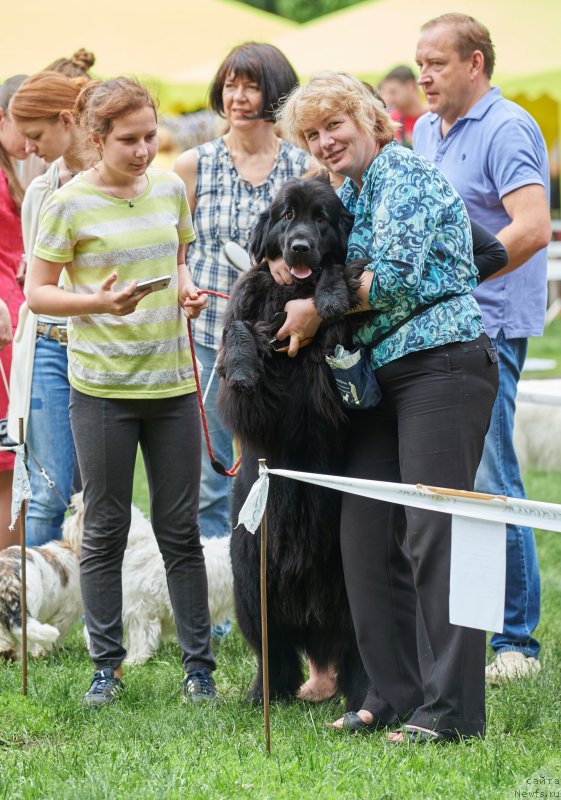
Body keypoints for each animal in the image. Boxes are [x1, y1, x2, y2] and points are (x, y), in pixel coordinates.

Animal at [63, 490, 234, 664]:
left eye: (78, 511)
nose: (70, 501)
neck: (132, 548)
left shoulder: (139, 609)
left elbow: (140, 636)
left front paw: (134, 660)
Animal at [217, 175, 370, 708]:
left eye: (321, 219)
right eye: (286, 218)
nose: (300, 246)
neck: (293, 287)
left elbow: (338, 282)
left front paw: (330, 296)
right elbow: (240, 330)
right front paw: (244, 367)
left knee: (355, 649)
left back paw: (358, 698)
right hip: (250, 583)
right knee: (273, 650)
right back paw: (263, 696)